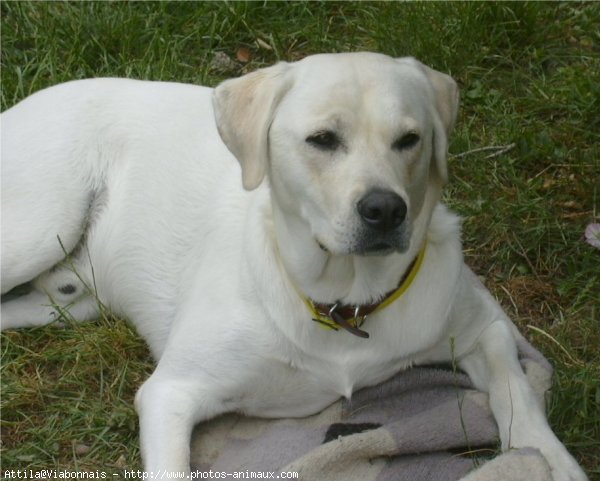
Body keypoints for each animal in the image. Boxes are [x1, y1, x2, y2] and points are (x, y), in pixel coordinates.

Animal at [0, 50, 584, 478]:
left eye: (409, 140)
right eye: (322, 140)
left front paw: (552, 460)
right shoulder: (171, 393)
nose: (385, 209)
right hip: (38, 227)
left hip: (71, 300)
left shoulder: (484, 327)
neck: (344, 303)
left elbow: (518, 397)